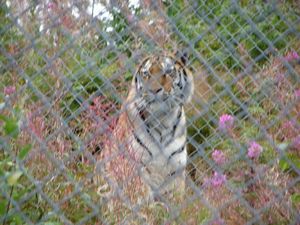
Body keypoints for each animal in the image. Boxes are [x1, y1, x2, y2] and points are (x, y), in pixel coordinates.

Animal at [94, 51, 195, 203]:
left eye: (169, 71)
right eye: (146, 73)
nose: (153, 90)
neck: (163, 121)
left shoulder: (174, 173)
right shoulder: (134, 170)